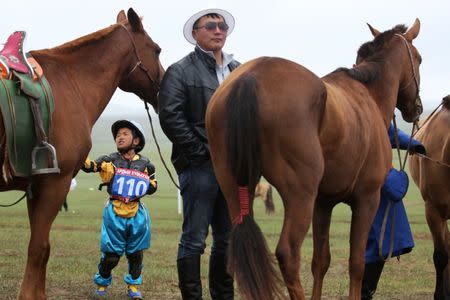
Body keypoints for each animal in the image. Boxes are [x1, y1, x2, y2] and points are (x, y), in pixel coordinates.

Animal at [0, 8, 164, 298]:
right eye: (156, 50)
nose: (165, 86)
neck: (71, 82)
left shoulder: (37, 188)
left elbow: (42, 248)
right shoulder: (55, 184)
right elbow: (38, 248)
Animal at [206, 19, 424, 298]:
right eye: (418, 58)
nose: (416, 108)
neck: (368, 95)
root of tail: (250, 76)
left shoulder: (323, 203)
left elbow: (321, 262)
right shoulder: (367, 200)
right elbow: (357, 263)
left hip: (235, 189)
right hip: (300, 196)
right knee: (288, 253)